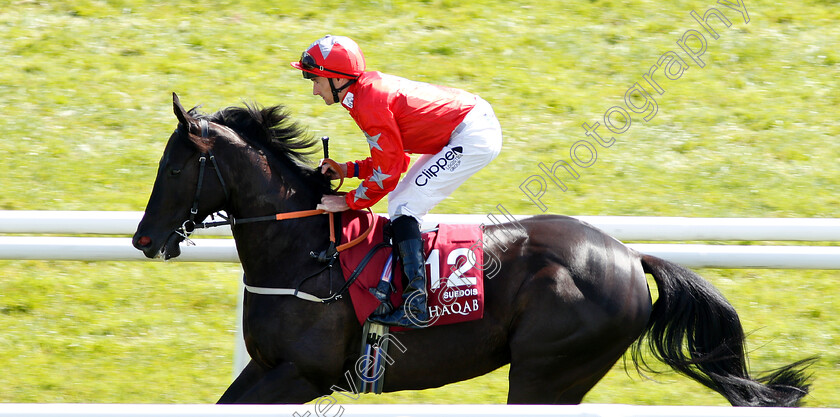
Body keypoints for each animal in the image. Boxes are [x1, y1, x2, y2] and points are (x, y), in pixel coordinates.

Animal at [131, 93, 812, 404]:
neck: (304, 256)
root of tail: (627, 256)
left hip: (546, 371)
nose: (142, 239)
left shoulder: (303, 373)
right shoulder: (268, 366)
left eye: (172, 168)